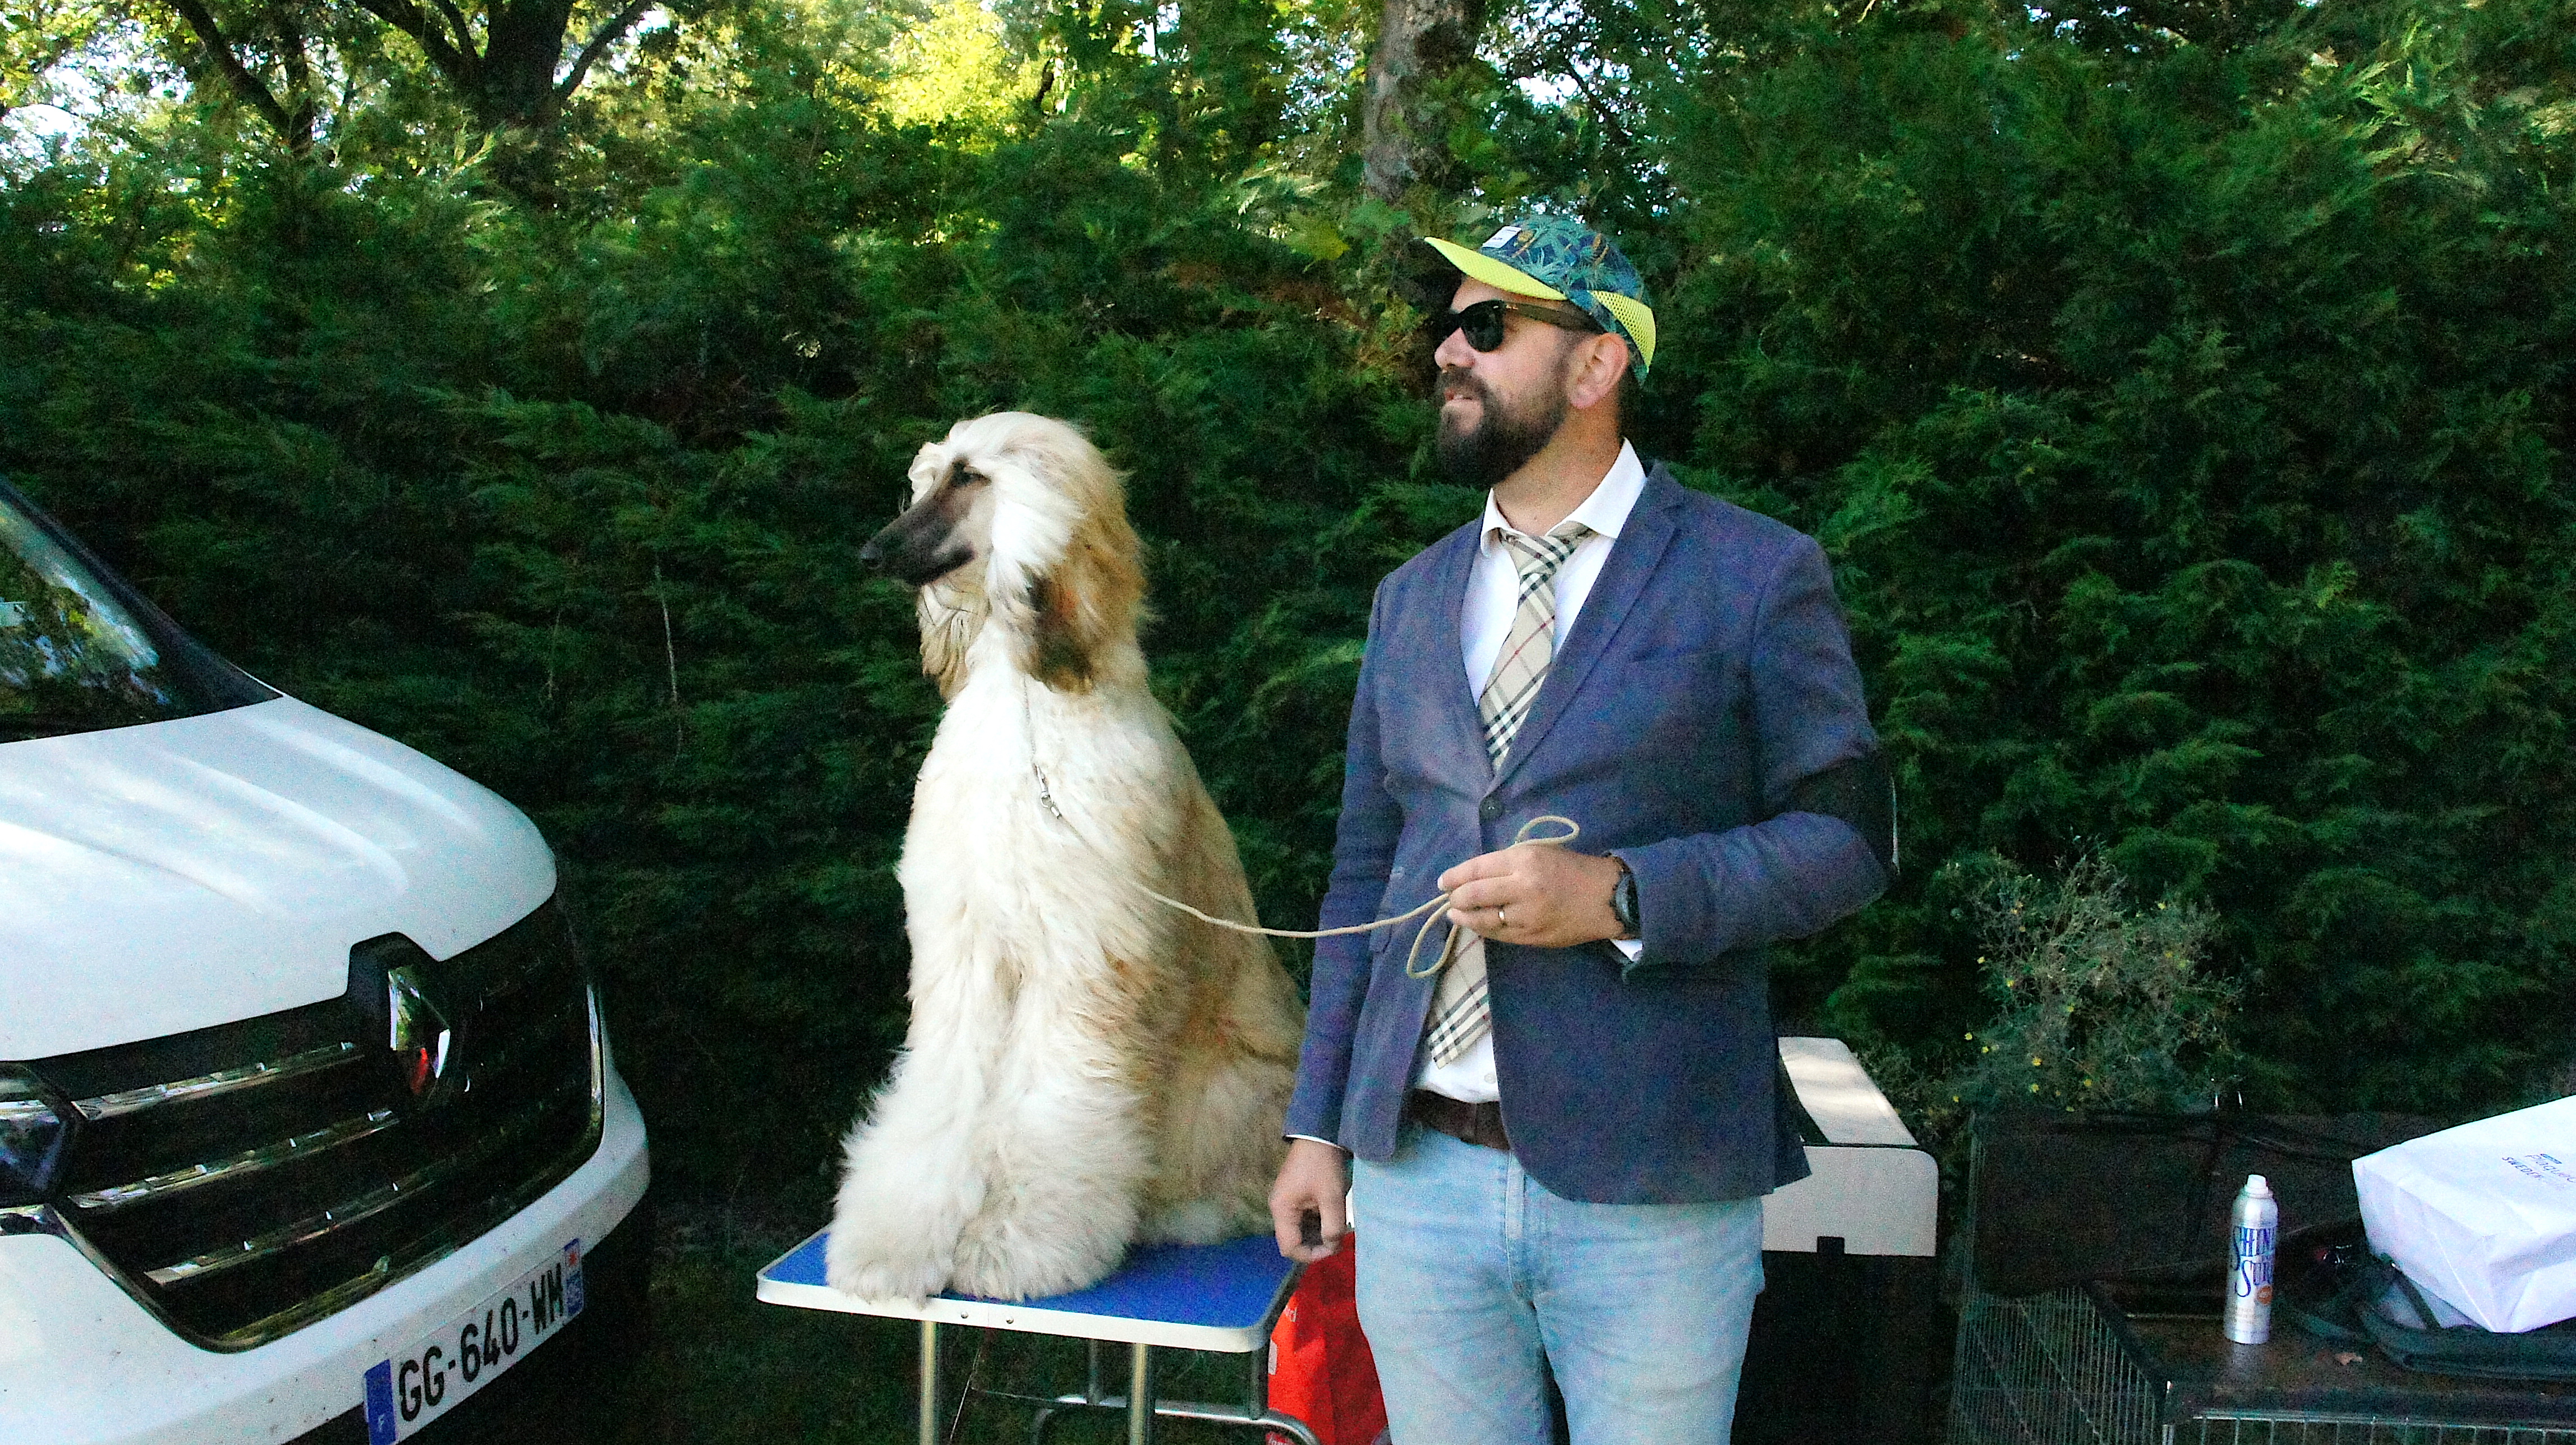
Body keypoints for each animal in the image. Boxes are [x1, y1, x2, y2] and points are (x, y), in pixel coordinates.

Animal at [829, 412, 1308, 1303]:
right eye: (925, 478)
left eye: (970, 477)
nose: (872, 553)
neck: (1029, 711)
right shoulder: (964, 950)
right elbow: (944, 1094)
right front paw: (895, 1240)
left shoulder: (1086, 961)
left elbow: (1058, 1102)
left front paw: (1014, 1243)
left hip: (1233, 1089)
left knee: (1242, 1183)